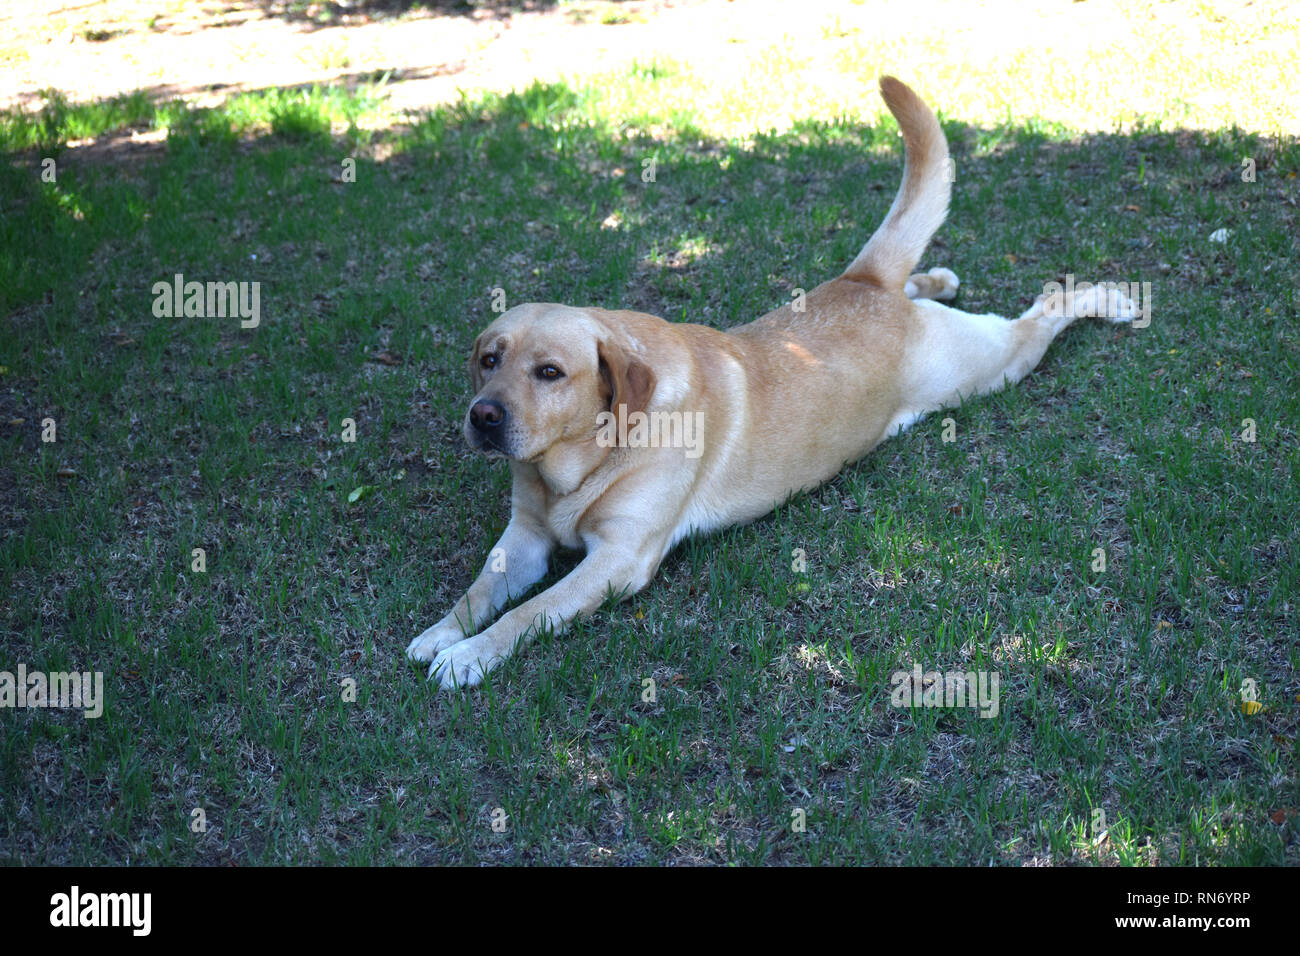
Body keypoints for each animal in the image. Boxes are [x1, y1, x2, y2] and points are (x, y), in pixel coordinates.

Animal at [408, 74, 1138, 686]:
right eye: (489, 359)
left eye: (550, 372)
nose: (483, 416)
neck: (579, 464)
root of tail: (867, 284)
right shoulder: (524, 539)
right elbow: (480, 589)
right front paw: (444, 631)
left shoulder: (617, 560)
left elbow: (529, 612)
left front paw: (470, 655)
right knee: (929, 284)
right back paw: (936, 277)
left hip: (989, 364)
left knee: (1048, 307)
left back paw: (1112, 300)